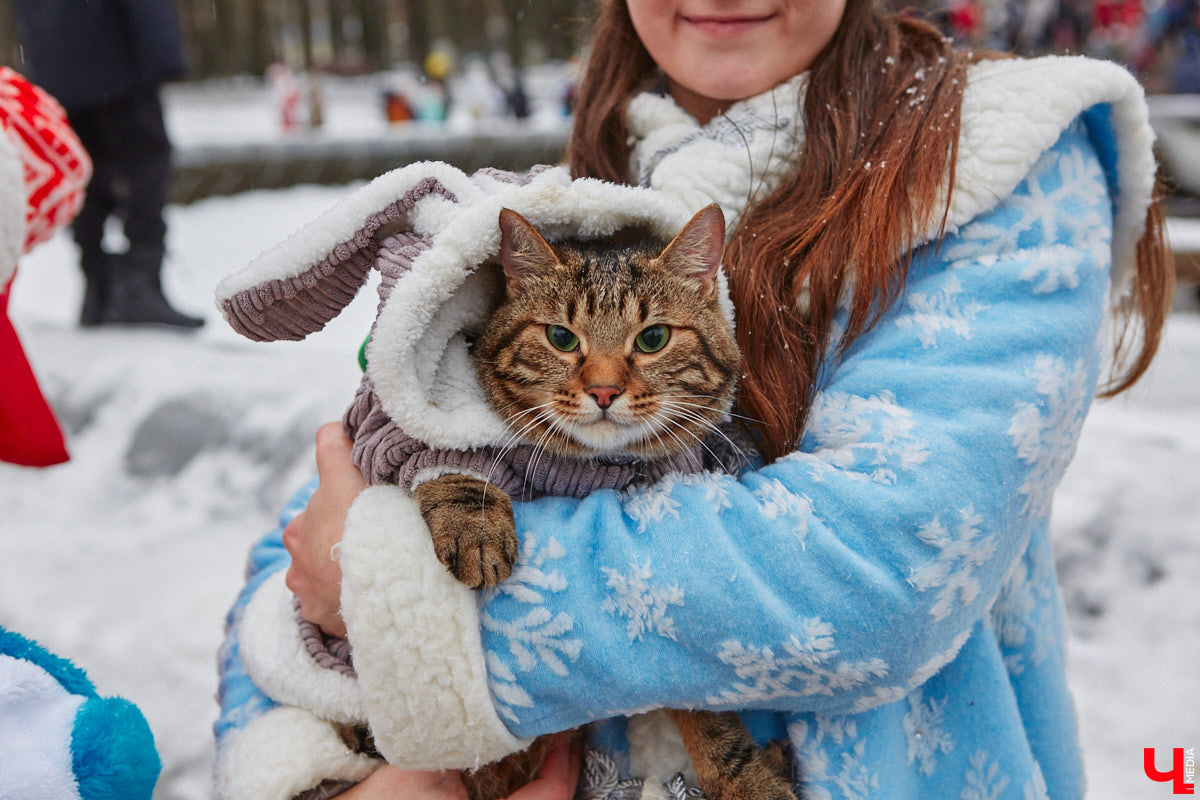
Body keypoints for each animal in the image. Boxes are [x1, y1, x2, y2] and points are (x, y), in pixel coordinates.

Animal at [412, 206, 796, 800]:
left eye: (654, 338)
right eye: (561, 337)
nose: (604, 391)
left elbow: (704, 712)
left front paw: (747, 780)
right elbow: (444, 449)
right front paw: (473, 524)